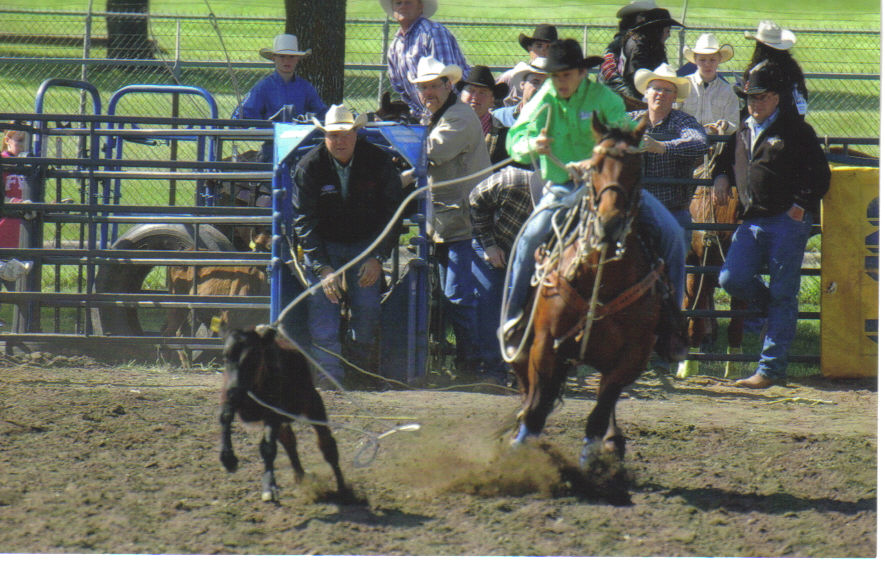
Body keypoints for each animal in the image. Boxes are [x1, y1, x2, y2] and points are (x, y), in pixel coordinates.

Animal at [218, 326, 348, 502]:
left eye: (253, 357)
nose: (233, 392)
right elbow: (225, 418)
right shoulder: (229, 399)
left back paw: (343, 489)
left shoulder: (272, 413)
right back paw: (300, 477)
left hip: (314, 405)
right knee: (290, 443)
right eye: (225, 357)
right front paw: (228, 458)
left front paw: (269, 487)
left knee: (327, 446)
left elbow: (268, 448)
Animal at [504, 113, 664, 468]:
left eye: (637, 168)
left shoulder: (630, 358)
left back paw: (613, 443)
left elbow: (598, 415)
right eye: (595, 165)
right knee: (529, 392)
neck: (602, 277)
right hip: (527, 349)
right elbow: (536, 411)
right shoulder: (544, 345)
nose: (609, 223)